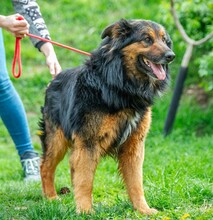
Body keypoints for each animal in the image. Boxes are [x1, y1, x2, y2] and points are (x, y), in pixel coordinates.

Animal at [39, 18, 176, 215]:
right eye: (147, 39)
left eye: (165, 41)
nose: (171, 56)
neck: (120, 85)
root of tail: (54, 79)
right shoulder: (88, 142)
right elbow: (85, 179)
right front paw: (85, 212)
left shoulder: (134, 145)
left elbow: (136, 182)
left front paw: (143, 209)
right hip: (56, 140)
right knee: (46, 166)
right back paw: (51, 198)